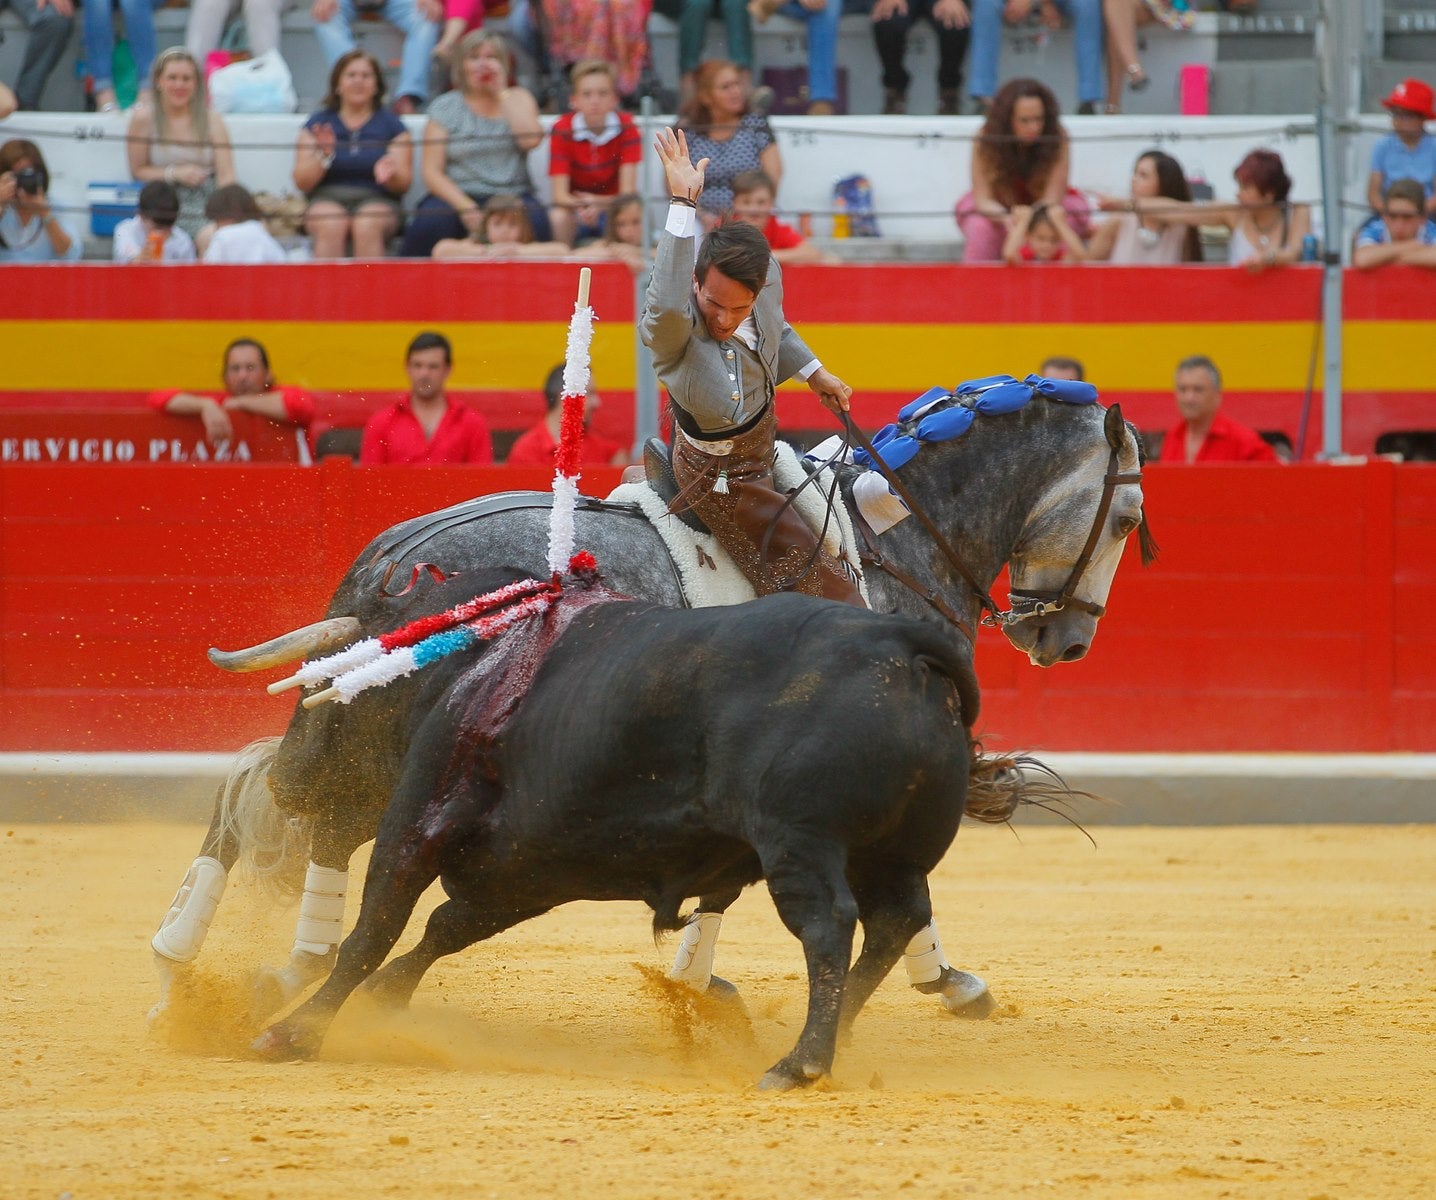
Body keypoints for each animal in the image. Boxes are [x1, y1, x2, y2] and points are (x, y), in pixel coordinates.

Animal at [151, 378, 1148, 1027]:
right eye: (1129, 519)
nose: (1067, 640)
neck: (892, 538)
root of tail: (387, 567)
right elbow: (899, 885)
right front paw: (950, 982)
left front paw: (697, 980)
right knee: (304, 820)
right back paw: (254, 970)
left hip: (348, 732)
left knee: (271, 803)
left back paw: (204, 969)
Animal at [252, 579, 1016, 1085]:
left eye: (317, 695)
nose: (286, 780)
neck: (475, 671)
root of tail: (895, 640)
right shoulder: (528, 873)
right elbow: (444, 927)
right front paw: (383, 1001)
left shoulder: (418, 818)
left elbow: (371, 931)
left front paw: (295, 1032)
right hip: (896, 854)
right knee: (897, 921)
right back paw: (838, 1038)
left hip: (801, 843)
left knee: (831, 926)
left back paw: (798, 1063)